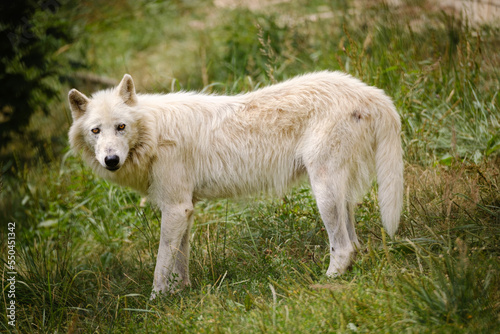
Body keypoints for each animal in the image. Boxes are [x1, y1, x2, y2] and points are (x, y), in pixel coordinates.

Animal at [67, 71, 402, 298]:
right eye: (96, 131)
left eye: (121, 127)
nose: (111, 159)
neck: (153, 133)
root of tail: (370, 91)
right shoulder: (185, 209)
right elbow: (179, 261)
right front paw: (181, 294)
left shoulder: (175, 208)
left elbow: (161, 265)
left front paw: (156, 303)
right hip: (338, 192)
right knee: (355, 244)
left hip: (323, 191)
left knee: (343, 247)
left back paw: (326, 281)